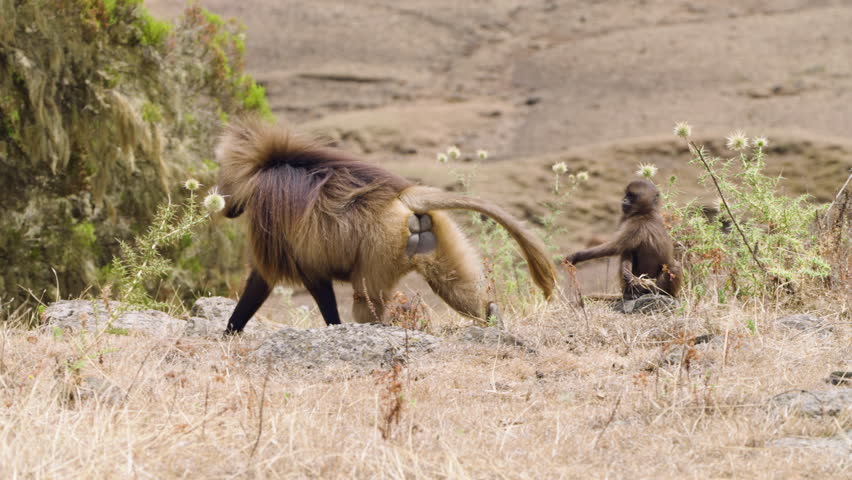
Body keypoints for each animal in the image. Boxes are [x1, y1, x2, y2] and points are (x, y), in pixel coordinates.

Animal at [215, 117, 557, 333]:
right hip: (438, 233)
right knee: (456, 286)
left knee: (366, 302)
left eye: (222, 175)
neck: (263, 166)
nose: (219, 198)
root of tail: (405, 199)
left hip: (380, 247)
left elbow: (276, 279)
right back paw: (493, 321)